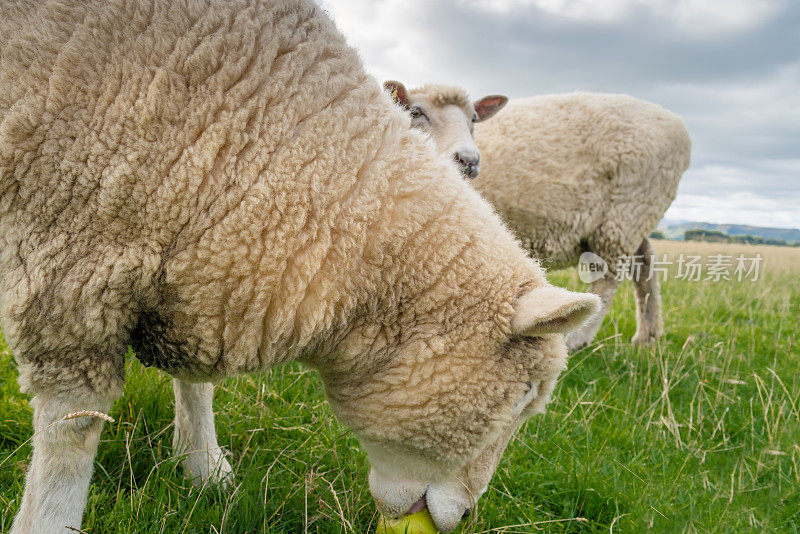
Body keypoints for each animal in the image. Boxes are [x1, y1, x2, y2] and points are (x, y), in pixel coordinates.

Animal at [1, 2, 600, 532]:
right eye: (523, 397)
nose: (470, 517)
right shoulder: (72, 266)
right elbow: (72, 431)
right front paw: (48, 521)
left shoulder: (201, 271)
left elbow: (195, 385)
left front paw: (205, 467)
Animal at [384, 82, 692, 352]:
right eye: (416, 111)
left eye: (473, 119)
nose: (469, 160)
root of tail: (679, 128)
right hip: (636, 213)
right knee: (645, 265)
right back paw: (647, 336)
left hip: (625, 214)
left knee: (609, 278)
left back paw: (578, 339)